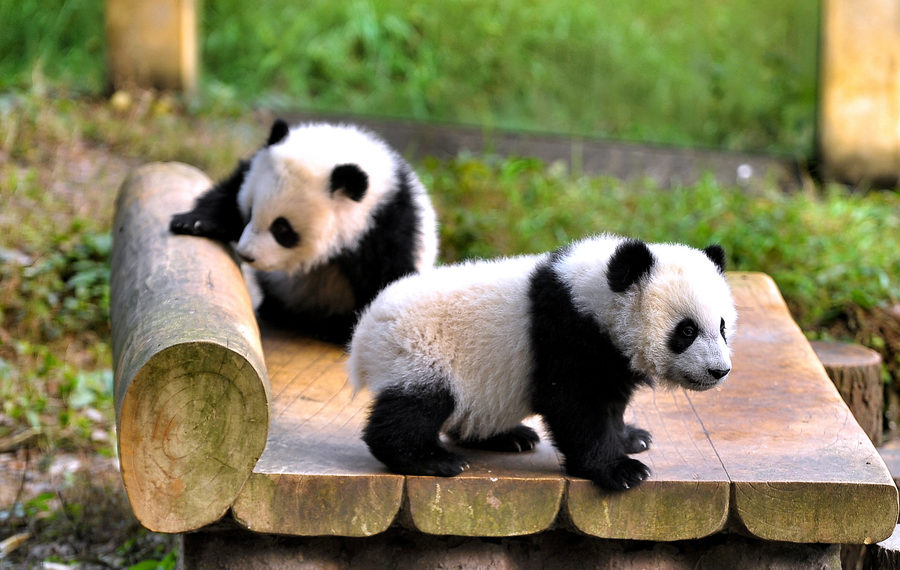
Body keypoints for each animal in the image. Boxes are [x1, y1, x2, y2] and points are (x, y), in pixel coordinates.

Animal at [170, 119, 438, 344]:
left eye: (282, 229)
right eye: (250, 211)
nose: (246, 255)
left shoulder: (385, 227)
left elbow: (386, 279)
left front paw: (344, 331)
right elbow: (229, 191)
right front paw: (192, 222)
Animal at [347, 234, 737, 491]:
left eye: (721, 326)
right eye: (686, 330)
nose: (719, 371)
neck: (592, 294)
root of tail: (364, 331)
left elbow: (611, 400)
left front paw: (630, 437)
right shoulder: (564, 333)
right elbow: (574, 404)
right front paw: (620, 469)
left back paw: (510, 437)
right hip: (421, 350)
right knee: (416, 407)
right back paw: (430, 458)